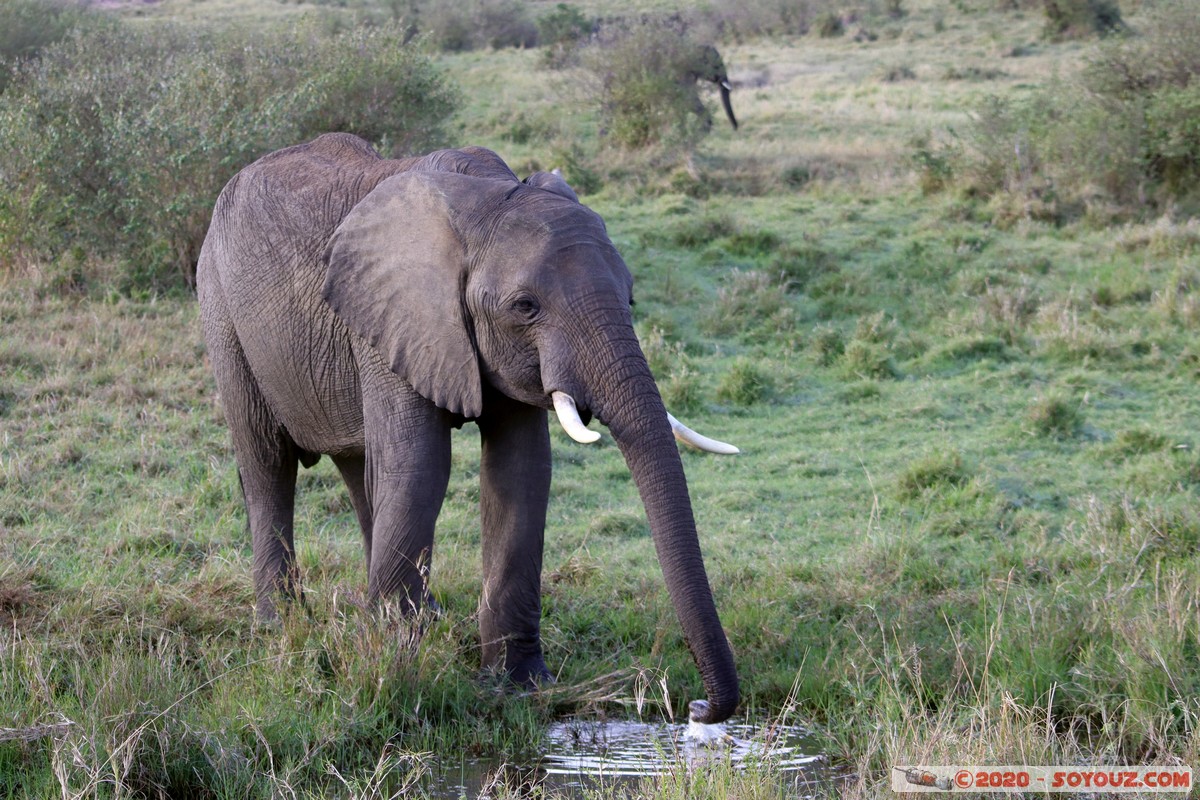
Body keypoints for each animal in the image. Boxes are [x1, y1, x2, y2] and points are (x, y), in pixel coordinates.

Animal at [196, 132, 740, 723]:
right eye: (525, 306)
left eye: (632, 295)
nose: (696, 708)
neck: (483, 200)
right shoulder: (397, 316)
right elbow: (421, 465)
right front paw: (395, 674)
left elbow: (520, 471)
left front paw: (518, 685)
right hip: (222, 310)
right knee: (268, 462)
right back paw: (283, 626)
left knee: (360, 467)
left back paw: (420, 614)